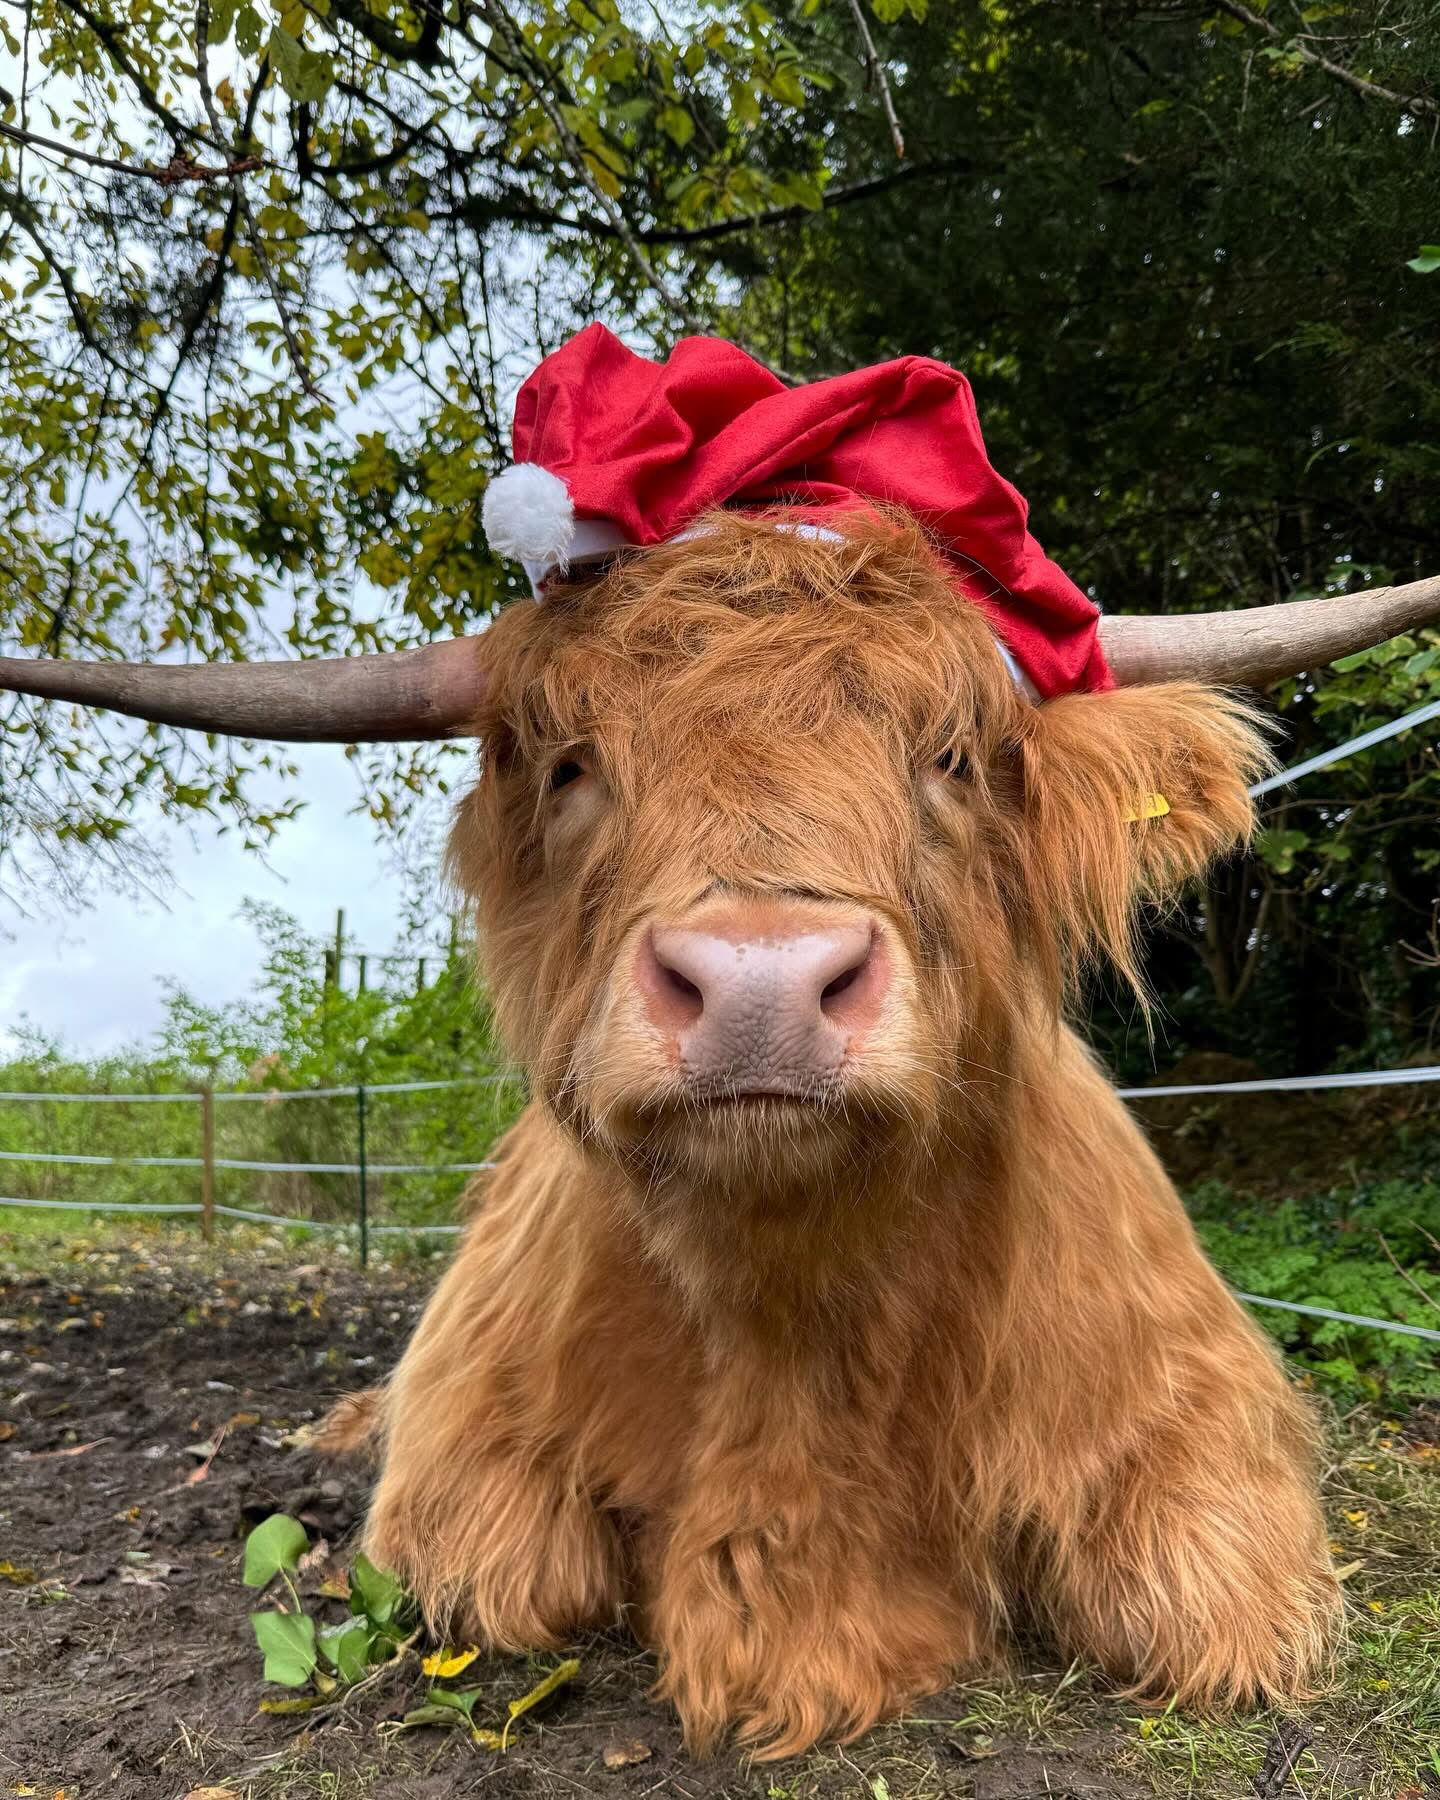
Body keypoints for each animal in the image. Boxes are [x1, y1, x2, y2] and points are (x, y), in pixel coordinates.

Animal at [5, 508, 1439, 1759]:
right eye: (571, 765)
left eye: (950, 756)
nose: (761, 985)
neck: (798, 1316)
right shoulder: (468, 1457)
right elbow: (507, 1570)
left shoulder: (1202, 1445)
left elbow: (1200, 1597)